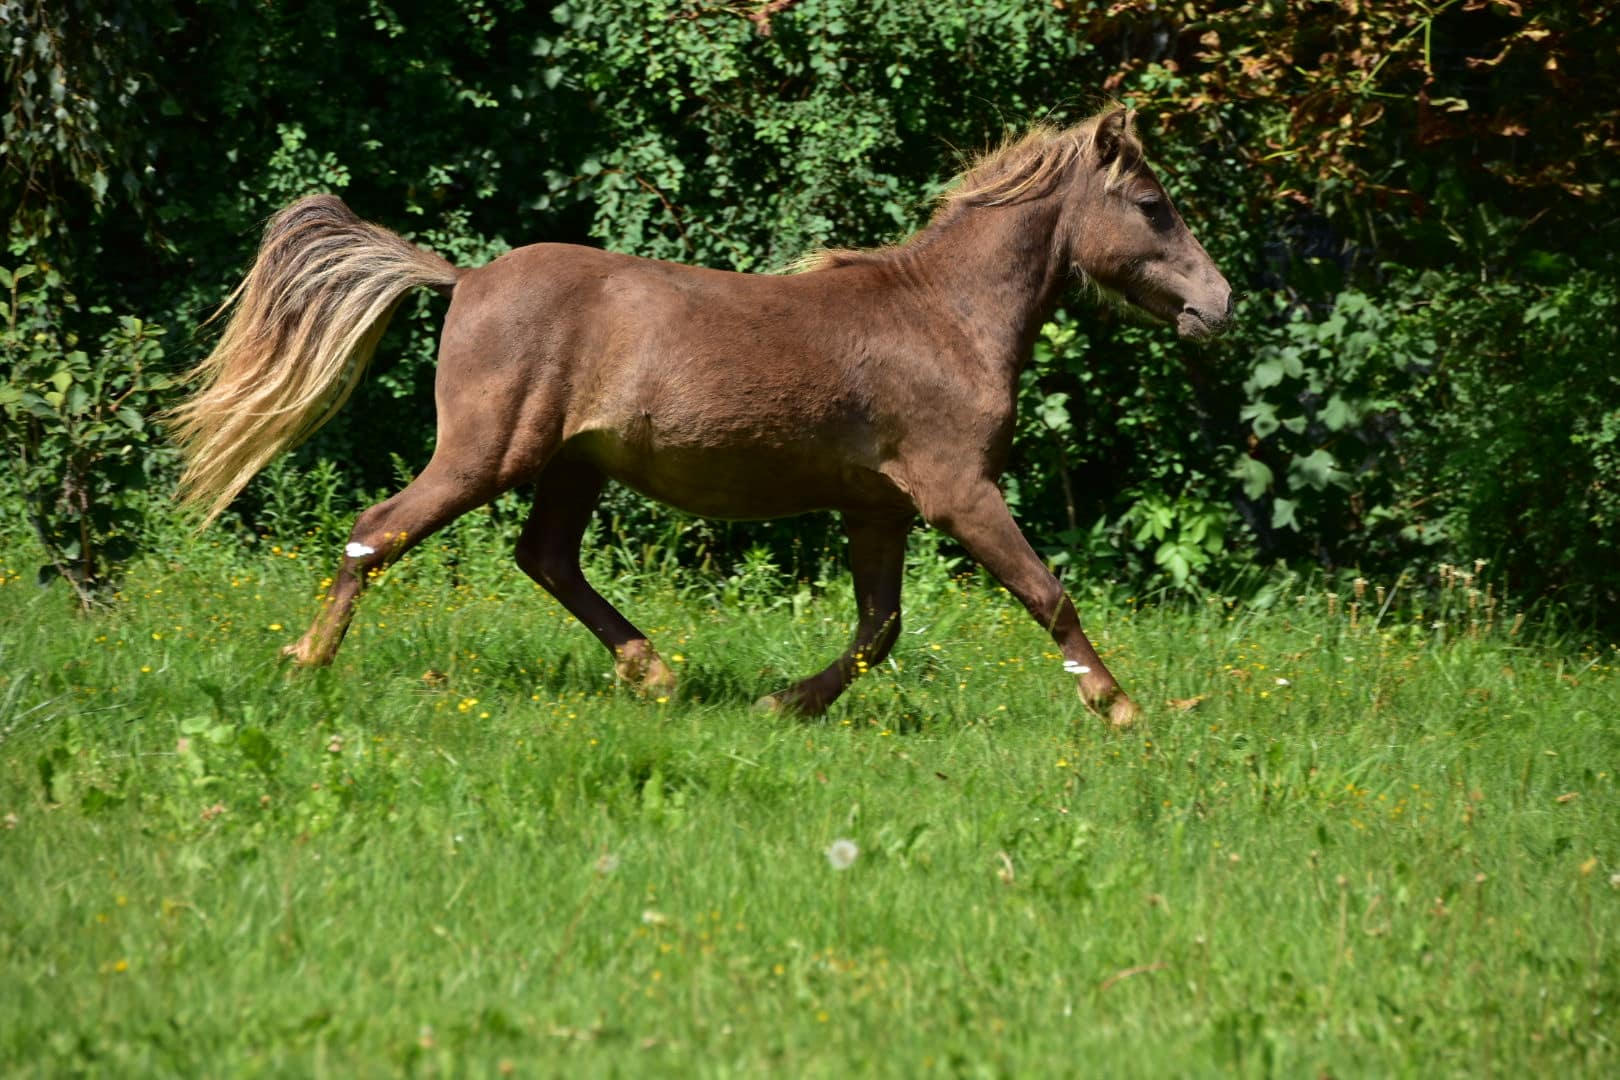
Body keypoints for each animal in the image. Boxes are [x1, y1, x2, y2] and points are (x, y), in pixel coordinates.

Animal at [170, 107, 1231, 728]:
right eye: (1153, 203)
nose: (1218, 304)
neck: (945, 319)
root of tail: (464, 278)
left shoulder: (876, 508)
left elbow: (879, 627)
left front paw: (780, 703)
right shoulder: (958, 491)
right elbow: (1047, 594)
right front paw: (1121, 709)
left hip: (574, 464)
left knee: (544, 557)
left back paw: (655, 675)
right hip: (486, 453)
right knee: (378, 530)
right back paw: (306, 660)